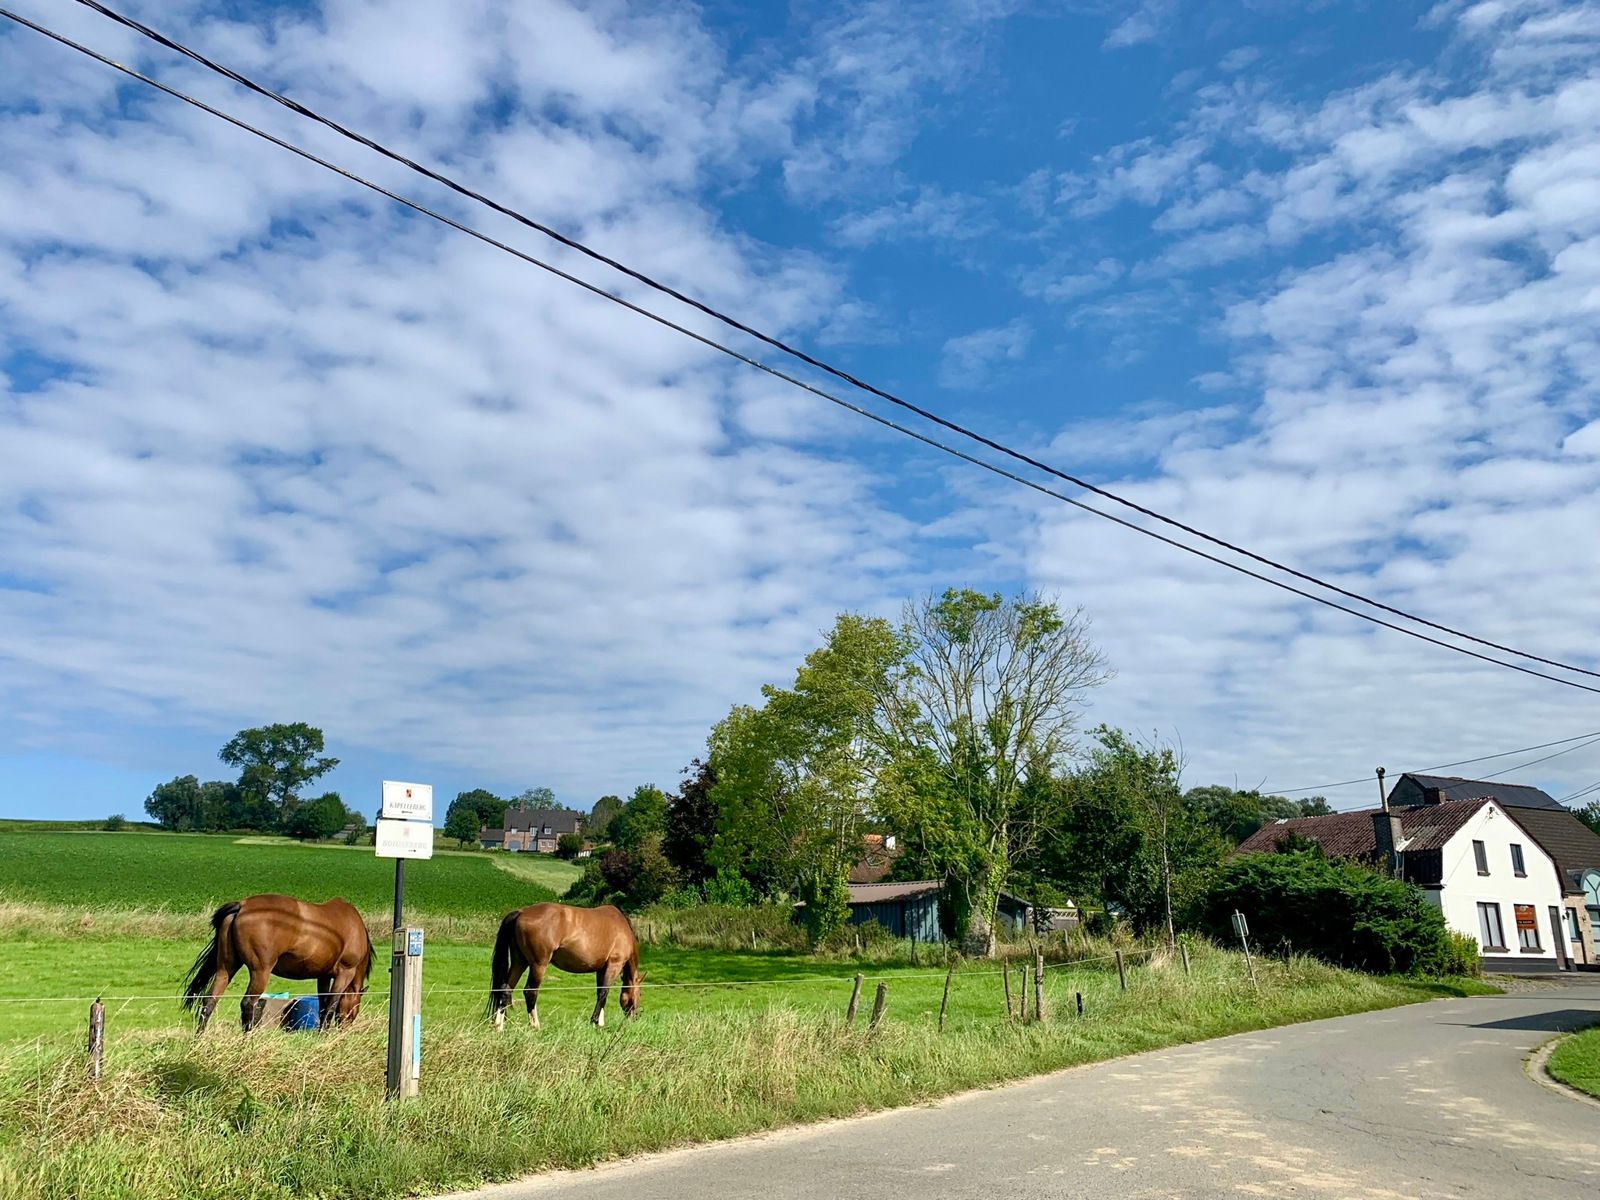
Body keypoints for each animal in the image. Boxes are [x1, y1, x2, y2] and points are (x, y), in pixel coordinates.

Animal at [180, 896, 371, 1036]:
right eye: (355, 1007)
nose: (345, 1029)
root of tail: (242, 906)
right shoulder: (344, 973)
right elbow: (331, 1004)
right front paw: (323, 1034)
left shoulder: (322, 975)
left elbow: (323, 1004)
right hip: (260, 972)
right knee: (248, 1004)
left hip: (225, 969)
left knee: (209, 1000)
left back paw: (199, 1038)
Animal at [486, 908, 636, 1030]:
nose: (634, 1017)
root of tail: (521, 912)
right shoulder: (614, 965)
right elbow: (604, 993)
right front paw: (594, 1021)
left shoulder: (601, 969)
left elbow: (600, 993)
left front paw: (600, 1023)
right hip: (538, 965)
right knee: (530, 992)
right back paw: (535, 1025)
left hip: (519, 962)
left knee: (506, 989)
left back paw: (499, 1026)